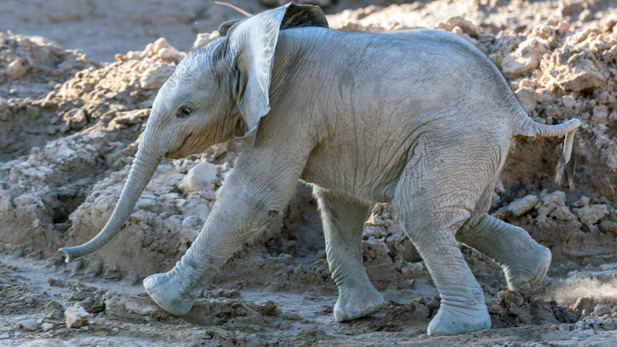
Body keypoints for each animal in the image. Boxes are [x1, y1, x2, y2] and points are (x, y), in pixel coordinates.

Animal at [60, 2, 580, 338]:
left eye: (185, 111)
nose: (66, 253)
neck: (255, 45)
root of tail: (515, 107)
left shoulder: (291, 108)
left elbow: (256, 196)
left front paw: (157, 296)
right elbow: (339, 203)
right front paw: (357, 316)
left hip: (455, 138)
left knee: (421, 213)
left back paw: (455, 327)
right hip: (468, 146)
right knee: (462, 215)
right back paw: (533, 277)